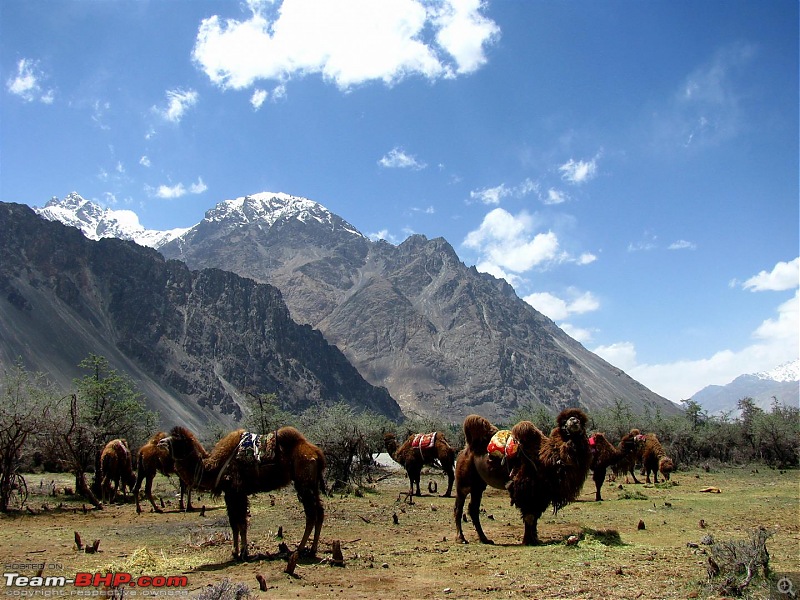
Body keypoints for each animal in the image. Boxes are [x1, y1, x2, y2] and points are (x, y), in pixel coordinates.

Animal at [159, 424, 324, 560]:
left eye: (178, 439)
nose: (160, 442)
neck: (214, 467)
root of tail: (316, 452)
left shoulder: (236, 491)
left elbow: (241, 522)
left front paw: (243, 552)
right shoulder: (231, 494)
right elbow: (234, 522)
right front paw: (235, 552)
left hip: (304, 483)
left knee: (311, 514)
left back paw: (300, 549)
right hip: (312, 485)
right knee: (320, 512)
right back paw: (312, 550)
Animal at [454, 410, 592, 548]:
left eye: (580, 420)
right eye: (564, 422)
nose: (574, 420)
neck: (549, 459)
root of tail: (464, 450)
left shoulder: (541, 493)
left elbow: (535, 516)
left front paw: (535, 539)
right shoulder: (525, 489)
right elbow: (529, 516)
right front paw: (528, 540)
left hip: (478, 485)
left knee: (473, 509)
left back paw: (485, 539)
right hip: (464, 481)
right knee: (459, 508)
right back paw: (461, 538)